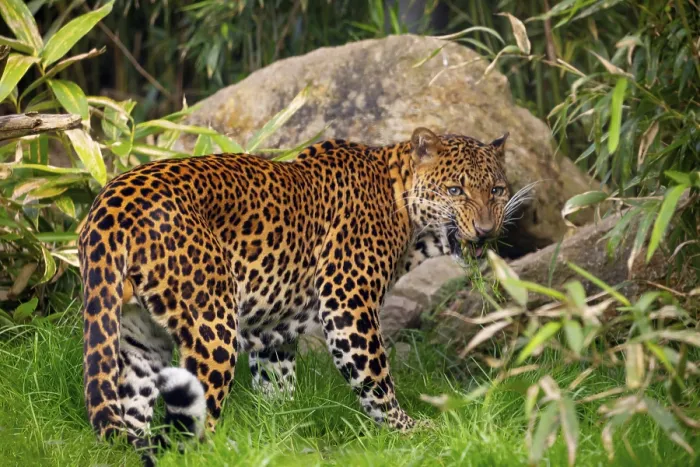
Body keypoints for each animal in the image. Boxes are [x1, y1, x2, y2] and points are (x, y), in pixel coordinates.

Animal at [77, 126, 514, 464]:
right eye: (455, 189)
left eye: (497, 189)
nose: (486, 230)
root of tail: (111, 204)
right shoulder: (348, 301)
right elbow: (375, 378)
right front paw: (413, 432)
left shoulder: (274, 324)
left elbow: (276, 382)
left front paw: (279, 431)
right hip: (212, 327)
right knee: (195, 418)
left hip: (138, 337)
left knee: (132, 414)